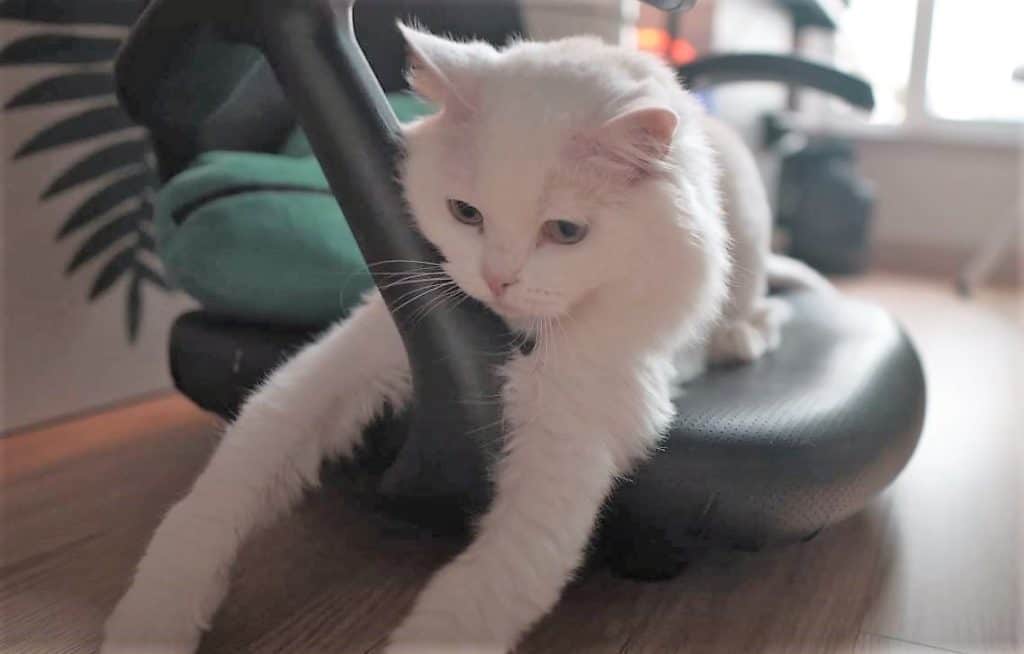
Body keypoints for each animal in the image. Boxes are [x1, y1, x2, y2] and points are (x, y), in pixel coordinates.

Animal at [101, 25, 823, 654]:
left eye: (565, 233)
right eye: (465, 214)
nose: (498, 280)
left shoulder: (570, 442)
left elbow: (481, 591)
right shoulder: (346, 362)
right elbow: (223, 489)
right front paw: (151, 618)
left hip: (748, 226)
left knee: (754, 298)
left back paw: (744, 335)